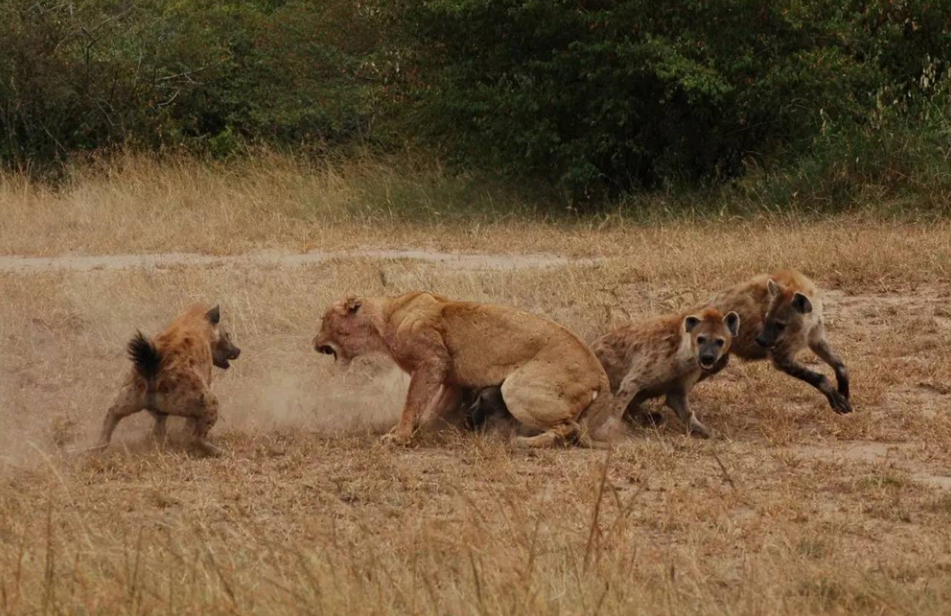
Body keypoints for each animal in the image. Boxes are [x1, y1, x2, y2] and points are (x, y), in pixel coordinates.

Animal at [94, 304, 242, 454]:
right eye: (228, 335)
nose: (238, 350)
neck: (192, 322)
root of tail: (153, 371)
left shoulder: (158, 408)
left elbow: (159, 422)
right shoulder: (205, 380)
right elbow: (189, 423)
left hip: (129, 395)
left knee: (113, 413)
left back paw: (98, 448)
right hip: (204, 399)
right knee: (196, 437)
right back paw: (219, 451)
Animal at [312, 294, 608, 448]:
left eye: (324, 320)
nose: (313, 343)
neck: (383, 320)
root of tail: (600, 374)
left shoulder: (431, 361)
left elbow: (411, 402)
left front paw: (399, 436)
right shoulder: (450, 378)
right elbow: (434, 408)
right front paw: (428, 428)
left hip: (517, 388)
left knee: (568, 427)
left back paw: (522, 442)